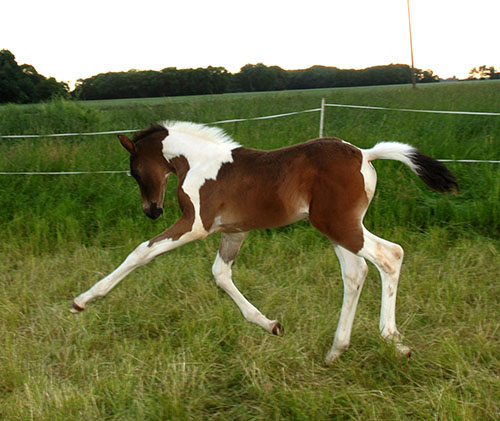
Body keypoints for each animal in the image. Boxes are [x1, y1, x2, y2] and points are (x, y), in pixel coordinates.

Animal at [70, 121, 457, 365]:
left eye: (135, 171)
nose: (152, 211)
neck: (198, 162)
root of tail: (364, 153)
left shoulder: (195, 224)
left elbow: (141, 253)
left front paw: (83, 300)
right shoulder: (234, 231)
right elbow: (220, 274)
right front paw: (271, 325)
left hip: (338, 224)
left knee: (390, 255)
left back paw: (393, 341)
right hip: (339, 227)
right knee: (356, 272)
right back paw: (336, 350)